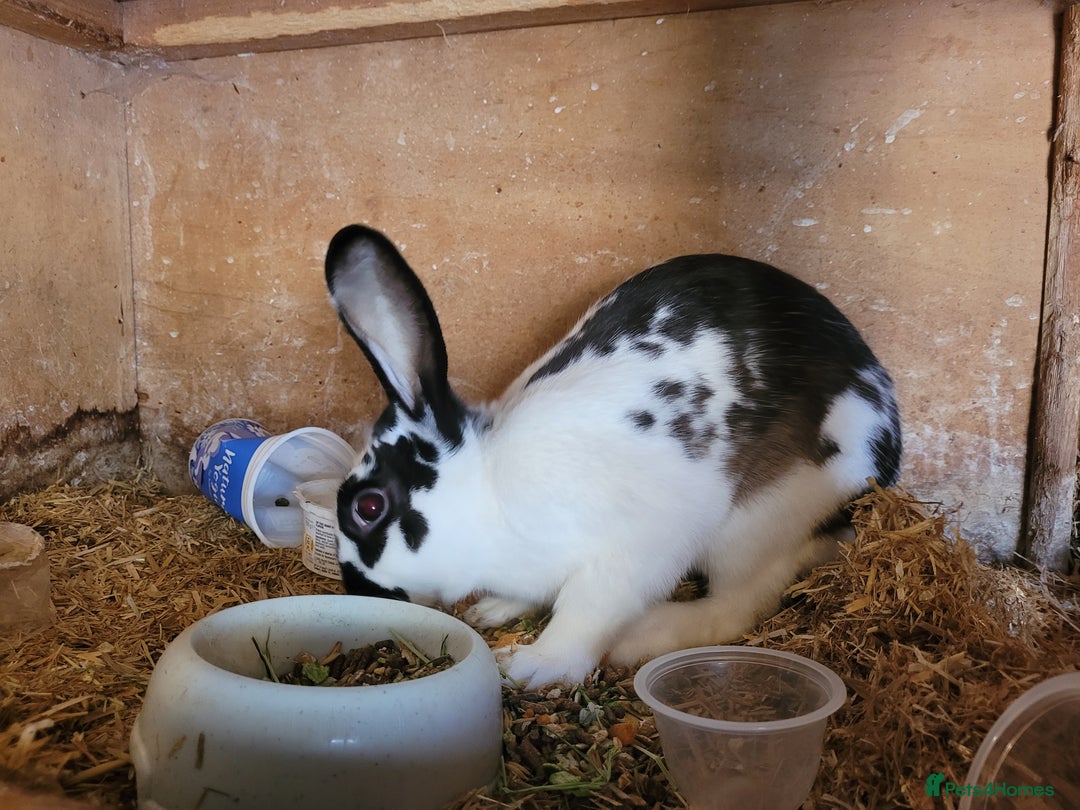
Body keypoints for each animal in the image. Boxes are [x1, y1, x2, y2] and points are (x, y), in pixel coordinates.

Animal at [325, 224, 902, 688]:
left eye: (368, 507)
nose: (357, 590)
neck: (489, 493)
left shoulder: (625, 556)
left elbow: (584, 615)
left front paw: (532, 666)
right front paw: (495, 610)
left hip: (754, 527)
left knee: (735, 607)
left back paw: (640, 638)